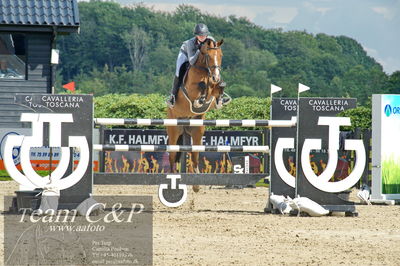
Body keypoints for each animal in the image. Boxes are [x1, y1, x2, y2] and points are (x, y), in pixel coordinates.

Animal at [166, 39, 225, 181]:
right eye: (208, 56)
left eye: (221, 56)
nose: (216, 77)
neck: (205, 71)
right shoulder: (191, 90)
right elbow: (202, 85)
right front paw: (200, 100)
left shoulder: (213, 87)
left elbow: (217, 87)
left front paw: (220, 99)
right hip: (174, 130)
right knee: (172, 156)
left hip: (197, 130)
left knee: (194, 156)